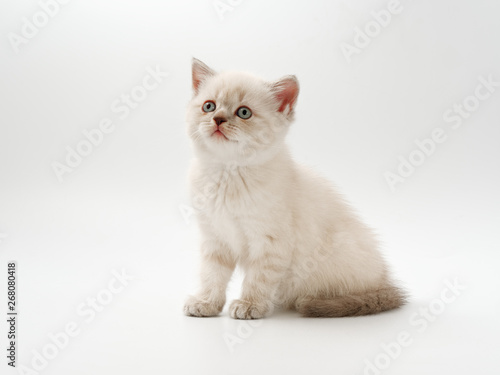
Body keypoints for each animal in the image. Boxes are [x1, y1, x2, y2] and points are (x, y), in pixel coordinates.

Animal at [184, 58, 406, 320]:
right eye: (209, 106)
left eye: (244, 112)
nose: (218, 119)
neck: (227, 172)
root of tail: (385, 280)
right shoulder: (215, 238)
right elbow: (211, 275)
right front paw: (206, 303)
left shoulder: (271, 242)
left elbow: (258, 279)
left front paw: (249, 305)